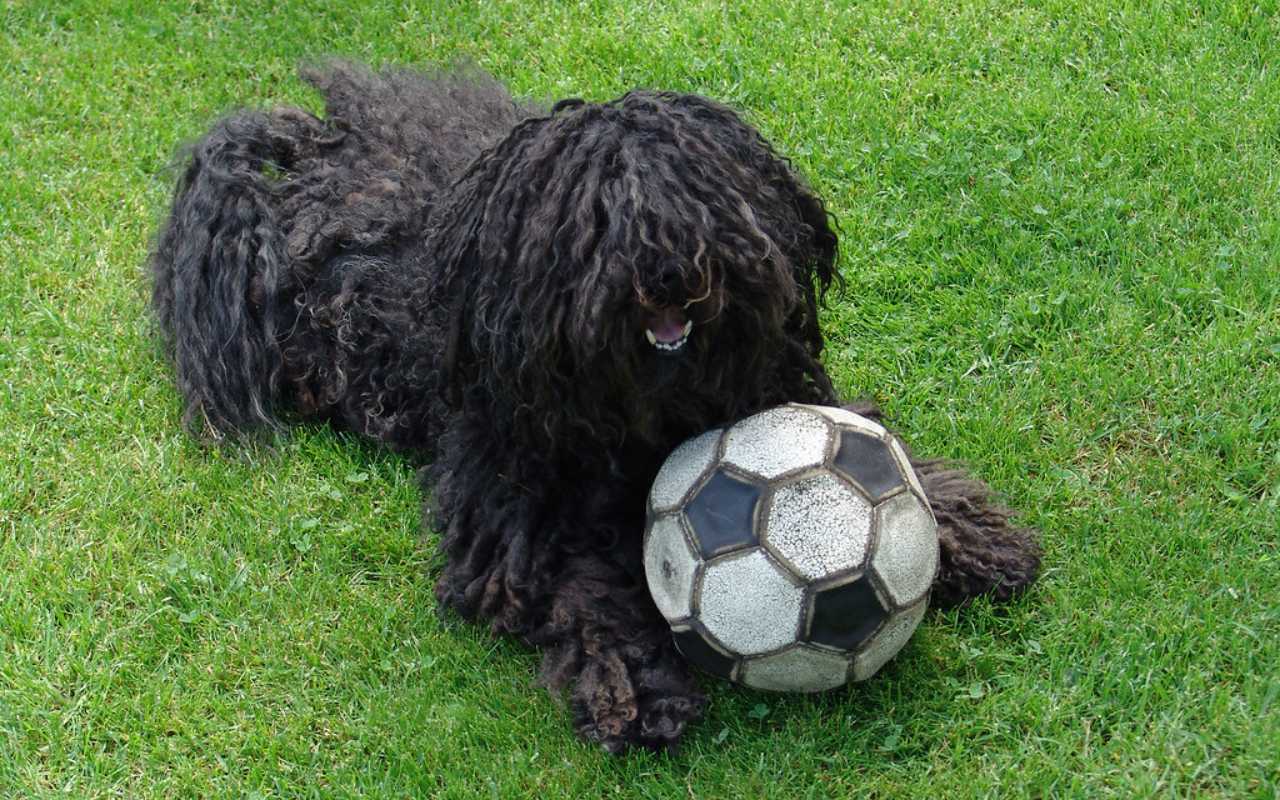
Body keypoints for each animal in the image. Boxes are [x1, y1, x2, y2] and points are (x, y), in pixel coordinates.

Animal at [149, 64, 1039, 752]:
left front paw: (970, 536)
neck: (648, 411)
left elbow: (874, 452)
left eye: (700, 196)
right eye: (600, 217)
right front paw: (635, 686)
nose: (668, 270)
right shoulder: (519, 503)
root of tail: (310, 149)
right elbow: (579, 588)